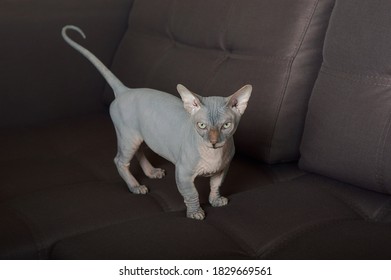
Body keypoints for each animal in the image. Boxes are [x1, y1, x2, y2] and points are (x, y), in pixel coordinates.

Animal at [61, 25, 251, 220]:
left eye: (226, 125)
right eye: (202, 125)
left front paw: (216, 200)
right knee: (120, 160)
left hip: (138, 135)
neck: (213, 155)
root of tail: (125, 91)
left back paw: (151, 172)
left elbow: (216, 185)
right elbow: (192, 194)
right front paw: (195, 212)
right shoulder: (182, 173)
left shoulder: (223, 169)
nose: (213, 142)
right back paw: (135, 186)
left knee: (138, 152)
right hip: (127, 136)